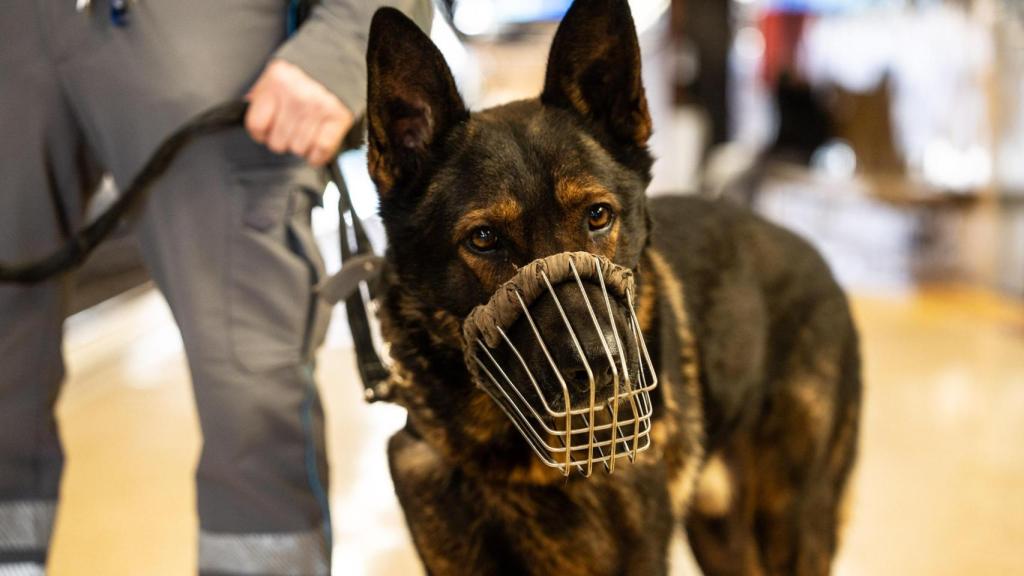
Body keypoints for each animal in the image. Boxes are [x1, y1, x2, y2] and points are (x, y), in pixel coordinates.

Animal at [364, 2, 860, 569]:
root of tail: (815, 254)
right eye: (484, 239)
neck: (510, 460)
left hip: (788, 524)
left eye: (598, 216)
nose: (603, 370)